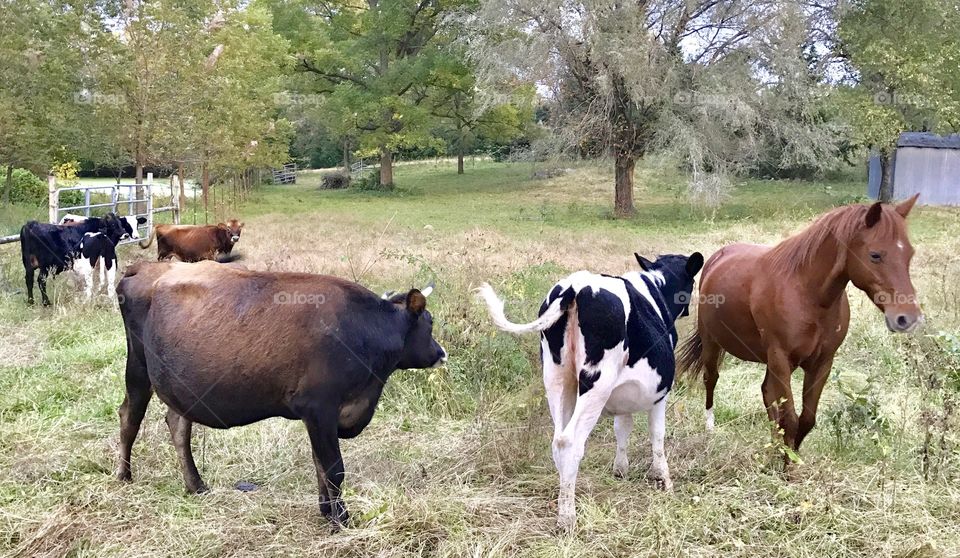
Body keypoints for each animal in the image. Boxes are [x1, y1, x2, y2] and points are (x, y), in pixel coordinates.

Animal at [476, 254, 700, 532]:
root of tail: (575, 286)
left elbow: (622, 428)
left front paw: (620, 469)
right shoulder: (661, 393)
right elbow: (657, 435)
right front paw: (663, 479)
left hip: (556, 378)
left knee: (557, 440)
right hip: (597, 383)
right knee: (570, 442)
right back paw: (567, 518)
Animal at [676, 195, 924, 458]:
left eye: (909, 254)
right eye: (875, 255)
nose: (908, 318)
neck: (807, 295)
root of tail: (717, 257)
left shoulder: (821, 363)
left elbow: (805, 420)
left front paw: (788, 456)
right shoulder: (781, 359)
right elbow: (791, 419)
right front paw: (788, 464)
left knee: (766, 393)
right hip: (712, 343)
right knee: (710, 379)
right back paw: (711, 430)